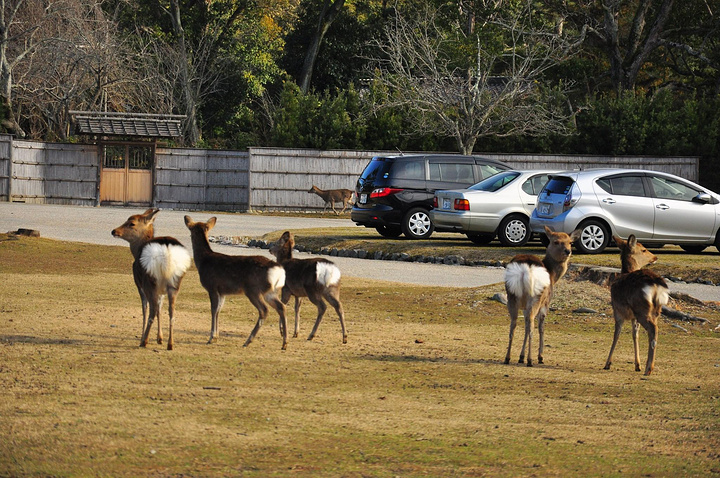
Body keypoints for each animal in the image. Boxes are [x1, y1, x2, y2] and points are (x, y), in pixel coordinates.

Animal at [110, 207, 191, 350]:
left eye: (131, 223)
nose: (114, 231)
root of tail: (166, 251)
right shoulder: (161, 291)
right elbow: (160, 309)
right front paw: (160, 338)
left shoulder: (139, 284)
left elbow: (145, 309)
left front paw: (144, 337)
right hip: (174, 283)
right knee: (171, 311)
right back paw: (170, 343)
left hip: (150, 280)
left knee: (151, 310)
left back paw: (144, 341)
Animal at [183, 215, 290, 350]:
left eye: (190, 231)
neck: (203, 261)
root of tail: (279, 270)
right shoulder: (222, 292)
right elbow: (218, 310)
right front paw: (216, 336)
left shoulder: (212, 286)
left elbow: (213, 310)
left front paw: (212, 337)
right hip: (271, 292)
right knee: (282, 307)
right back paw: (285, 342)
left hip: (253, 289)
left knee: (264, 310)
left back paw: (248, 341)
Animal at [504, 226, 584, 368]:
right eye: (556, 241)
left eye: (570, 242)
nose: (568, 251)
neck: (553, 275)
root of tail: (525, 270)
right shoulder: (546, 303)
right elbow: (541, 327)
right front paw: (540, 356)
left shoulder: (524, 306)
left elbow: (524, 325)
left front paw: (521, 357)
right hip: (537, 296)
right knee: (532, 324)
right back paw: (531, 360)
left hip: (511, 295)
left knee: (513, 323)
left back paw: (507, 358)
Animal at [600, 233, 668, 376]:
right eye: (643, 249)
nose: (655, 257)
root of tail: (656, 284)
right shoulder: (633, 317)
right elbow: (635, 334)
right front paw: (637, 365)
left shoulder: (617, 310)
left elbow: (616, 334)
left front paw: (607, 363)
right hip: (654, 310)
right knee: (653, 330)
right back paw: (648, 366)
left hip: (641, 308)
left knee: (653, 330)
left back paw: (648, 369)